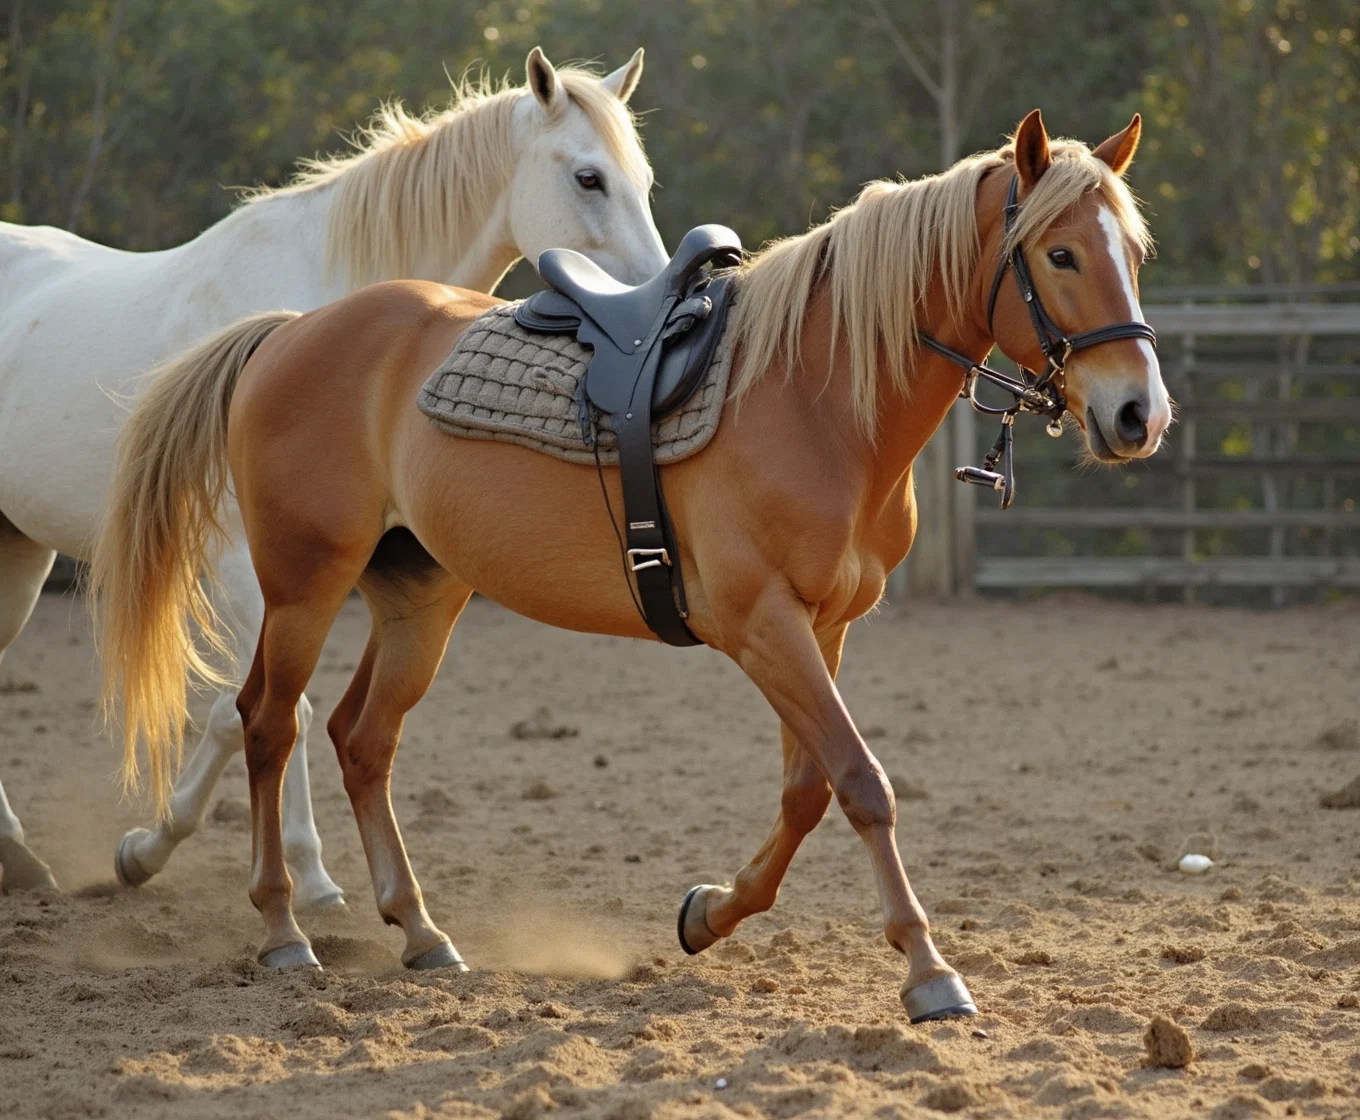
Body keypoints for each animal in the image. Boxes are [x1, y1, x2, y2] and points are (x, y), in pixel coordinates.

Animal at [0, 48, 663, 902]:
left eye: (642, 179)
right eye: (589, 178)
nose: (657, 296)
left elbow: (246, 713)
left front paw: (163, 850)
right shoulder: (248, 569)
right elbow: (276, 712)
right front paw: (286, 873)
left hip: (20, 550)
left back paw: (21, 858)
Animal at [95, 113, 1175, 1022]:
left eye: (1131, 252)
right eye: (1060, 252)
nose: (1139, 415)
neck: (814, 394)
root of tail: (290, 330)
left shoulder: (823, 628)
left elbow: (807, 791)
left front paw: (708, 913)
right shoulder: (761, 626)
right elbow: (861, 782)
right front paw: (928, 970)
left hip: (421, 597)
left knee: (362, 738)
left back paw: (422, 932)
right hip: (304, 586)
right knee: (267, 725)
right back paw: (283, 929)